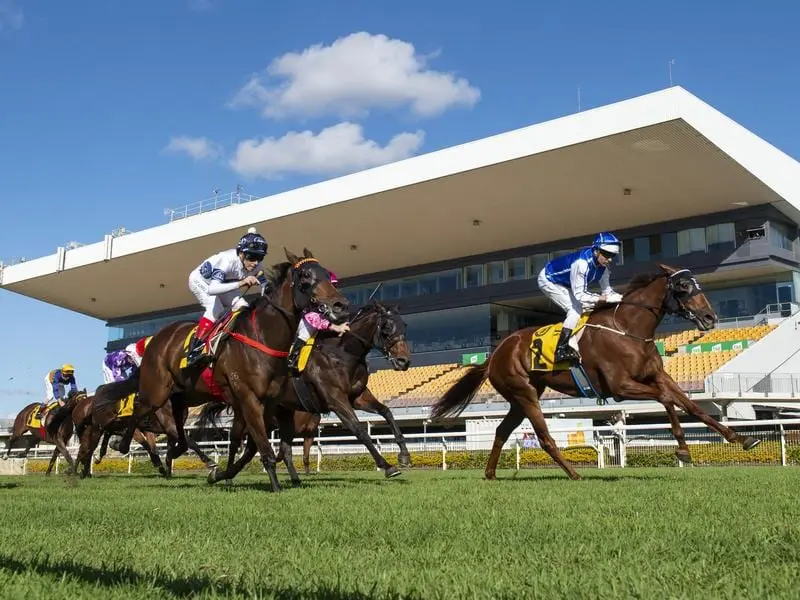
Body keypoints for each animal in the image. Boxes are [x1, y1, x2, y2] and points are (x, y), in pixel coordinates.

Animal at [432, 264, 764, 480]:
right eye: (683, 287)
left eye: (699, 285)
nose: (710, 317)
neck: (629, 329)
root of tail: (496, 353)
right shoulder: (620, 387)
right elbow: (667, 400)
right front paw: (682, 449)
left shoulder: (658, 376)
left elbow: (692, 406)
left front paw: (741, 438)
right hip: (524, 394)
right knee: (544, 436)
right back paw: (574, 473)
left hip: (519, 398)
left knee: (502, 430)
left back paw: (490, 474)